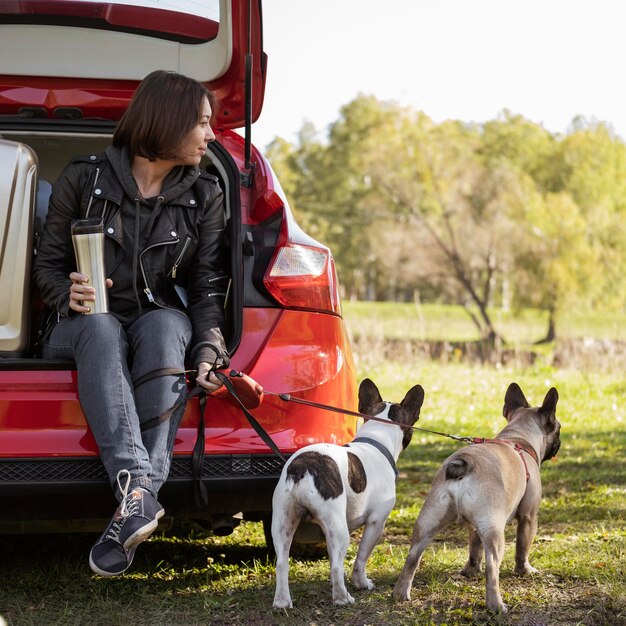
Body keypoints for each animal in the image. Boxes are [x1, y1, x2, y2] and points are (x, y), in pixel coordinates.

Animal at [270, 376, 422, 604]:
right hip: (337, 527)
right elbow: (361, 557)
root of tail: (302, 467)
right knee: (334, 566)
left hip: (284, 519)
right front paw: (362, 583)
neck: (376, 441)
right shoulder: (376, 522)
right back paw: (343, 598)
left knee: (282, 562)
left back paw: (282, 602)